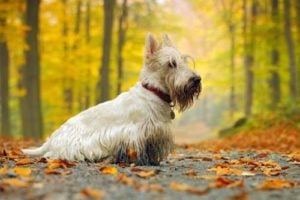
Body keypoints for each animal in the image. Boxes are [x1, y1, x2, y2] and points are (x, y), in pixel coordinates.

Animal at [22, 34, 202, 166]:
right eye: (171, 64)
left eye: (183, 61)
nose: (196, 79)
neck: (154, 92)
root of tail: (51, 140)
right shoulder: (136, 133)